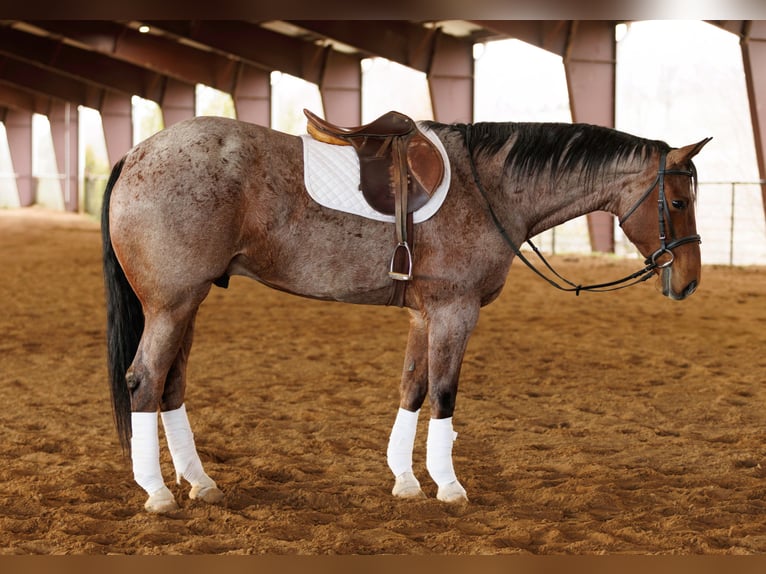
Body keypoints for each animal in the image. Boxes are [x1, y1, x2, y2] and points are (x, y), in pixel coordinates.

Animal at [101, 113, 710, 513]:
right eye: (678, 202)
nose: (689, 280)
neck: (487, 188)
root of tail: (138, 154)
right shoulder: (454, 312)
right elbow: (443, 394)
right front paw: (449, 487)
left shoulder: (424, 316)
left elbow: (412, 389)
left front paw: (406, 482)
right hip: (172, 304)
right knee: (145, 380)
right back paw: (158, 493)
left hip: (189, 303)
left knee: (171, 384)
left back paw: (200, 483)